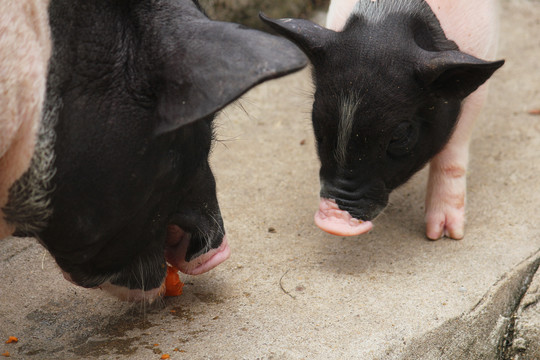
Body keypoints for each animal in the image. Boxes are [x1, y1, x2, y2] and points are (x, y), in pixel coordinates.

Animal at [260, 0, 504, 239]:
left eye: (400, 135)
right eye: (317, 123)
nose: (334, 221)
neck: (388, 14)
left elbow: (453, 151)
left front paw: (443, 235)